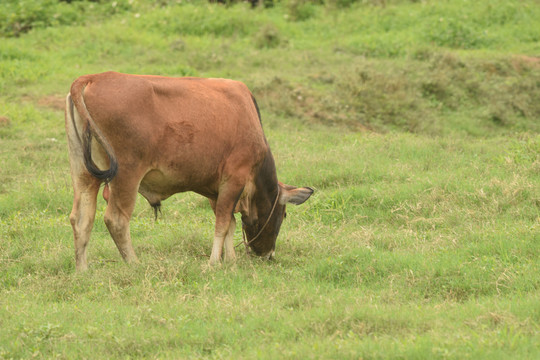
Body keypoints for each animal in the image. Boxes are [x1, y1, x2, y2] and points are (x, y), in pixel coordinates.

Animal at [65, 71, 314, 272]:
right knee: (116, 220)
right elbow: (223, 223)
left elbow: (230, 224)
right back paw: (134, 263)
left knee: (81, 218)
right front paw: (214, 263)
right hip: (126, 174)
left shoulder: (217, 189)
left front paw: (230, 261)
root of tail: (93, 77)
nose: (269, 255)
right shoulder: (234, 178)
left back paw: (82, 269)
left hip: (84, 173)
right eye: (284, 214)